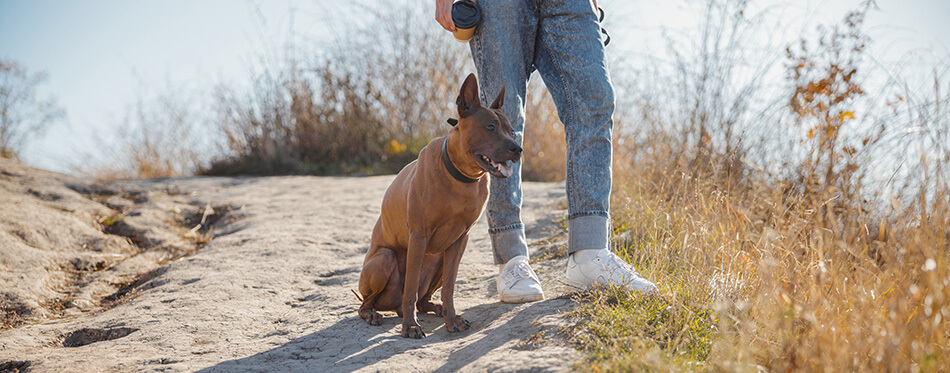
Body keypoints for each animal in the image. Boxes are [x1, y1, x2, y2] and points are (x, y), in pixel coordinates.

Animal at [358, 72, 520, 338]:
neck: (460, 177)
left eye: (512, 131)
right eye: (490, 127)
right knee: (368, 302)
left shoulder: (459, 241)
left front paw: (451, 319)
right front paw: (411, 326)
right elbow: (410, 288)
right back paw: (374, 314)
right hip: (384, 259)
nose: (518, 149)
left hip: (438, 260)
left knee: (423, 299)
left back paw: (436, 308)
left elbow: (450, 288)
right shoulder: (419, 236)